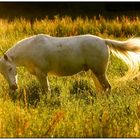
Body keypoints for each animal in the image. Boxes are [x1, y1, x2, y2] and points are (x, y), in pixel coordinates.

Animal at [0, 34, 140, 92]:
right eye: (2, 73)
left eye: (10, 68)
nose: (13, 87)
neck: (31, 49)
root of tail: (103, 41)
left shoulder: (42, 74)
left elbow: (47, 90)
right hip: (95, 73)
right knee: (101, 88)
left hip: (100, 72)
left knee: (107, 87)